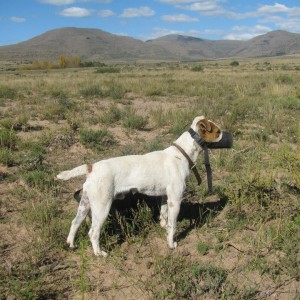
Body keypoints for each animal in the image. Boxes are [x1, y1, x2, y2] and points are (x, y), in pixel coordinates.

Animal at [56, 115, 220, 255]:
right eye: (217, 131)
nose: (224, 134)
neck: (181, 154)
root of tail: (92, 167)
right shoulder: (175, 199)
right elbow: (173, 226)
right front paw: (171, 243)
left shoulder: (165, 196)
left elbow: (164, 216)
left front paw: (163, 226)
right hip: (101, 208)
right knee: (93, 232)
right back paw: (98, 253)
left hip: (85, 205)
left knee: (75, 223)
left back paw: (71, 244)